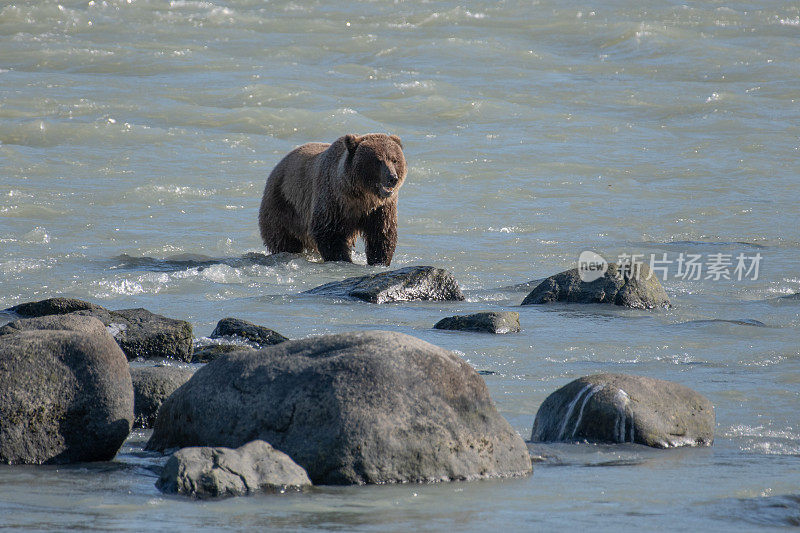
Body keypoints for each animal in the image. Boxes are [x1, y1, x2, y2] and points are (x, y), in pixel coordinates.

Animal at [260, 133, 406, 266]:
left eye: (394, 160)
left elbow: (382, 234)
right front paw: (343, 259)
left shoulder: (381, 208)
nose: (392, 178)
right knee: (282, 239)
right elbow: (329, 234)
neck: (361, 197)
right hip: (283, 205)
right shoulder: (333, 202)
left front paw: (379, 261)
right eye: (378, 160)